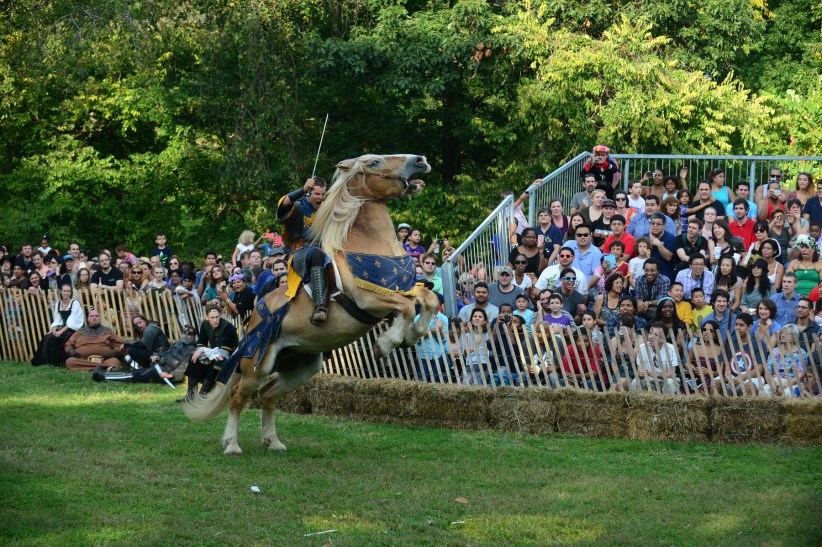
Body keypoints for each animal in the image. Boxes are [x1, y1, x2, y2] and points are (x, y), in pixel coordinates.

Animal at [187, 153, 444, 454]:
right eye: (375, 162)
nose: (420, 160)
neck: (371, 245)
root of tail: (254, 318)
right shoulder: (370, 298)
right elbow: (406, 307)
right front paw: (385, 344)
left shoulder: (404, 288)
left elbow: (427, 299)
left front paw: (411, 335)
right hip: (257, 364)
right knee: (239, 397)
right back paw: (231, 445)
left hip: (301, 365)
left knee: (268, 395)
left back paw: (273, 441)